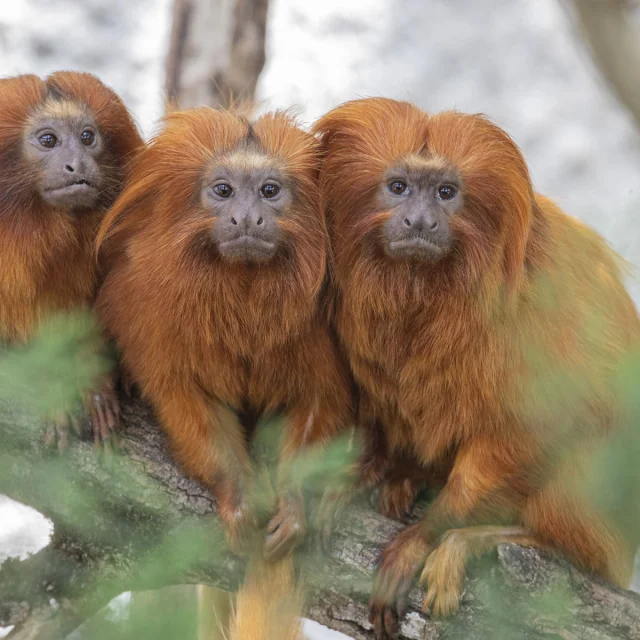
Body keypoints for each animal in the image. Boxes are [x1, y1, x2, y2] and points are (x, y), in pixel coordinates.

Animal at [96, 107, 350, 556]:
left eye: (269, 190)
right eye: (223, 190)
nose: (247, 218)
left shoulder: (318, 327)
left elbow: (319, 401)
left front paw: (293, 503)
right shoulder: (154, 309)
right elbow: (187, 400)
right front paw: (237, 498)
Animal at [316, 97, 640, 636]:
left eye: (446, 193)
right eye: (399, 187)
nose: (420, 221)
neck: (425, 288)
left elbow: (535, 425)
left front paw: (425, 536)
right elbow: (381, 396)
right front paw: (365, 470)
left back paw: (506, 536)